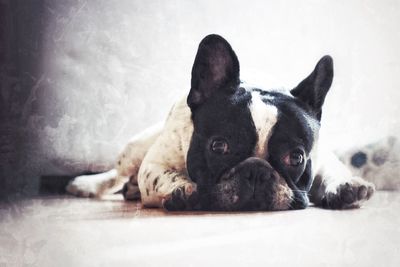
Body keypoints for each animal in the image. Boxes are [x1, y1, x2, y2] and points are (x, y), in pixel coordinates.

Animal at [65, 34, 376, 211]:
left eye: (296, 157)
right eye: (218, 147)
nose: (256, 171)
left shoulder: (321, 155)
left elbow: (332, 170)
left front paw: (346, 186)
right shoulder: (154, 164)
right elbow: (160, 175)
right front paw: (183, 188)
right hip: (134, 147)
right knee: (117, 174)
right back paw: (88, 184)